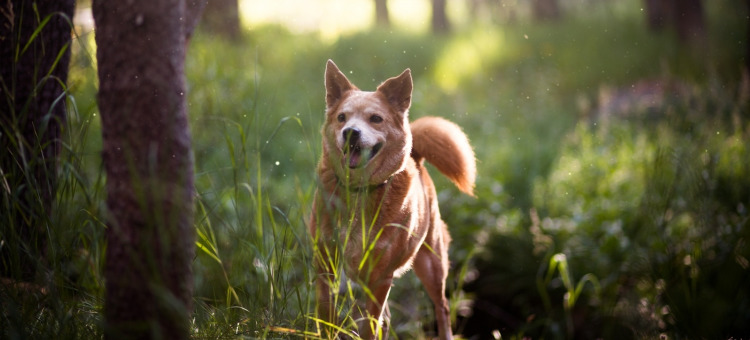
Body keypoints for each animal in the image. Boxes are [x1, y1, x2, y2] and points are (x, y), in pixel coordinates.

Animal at [310, 60, 476, 340]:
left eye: (376, 118)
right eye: (342, 117)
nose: (350, 132)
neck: (359, 191)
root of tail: (416, 156)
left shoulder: (380, 276)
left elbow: (369, 326)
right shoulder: (326, 264)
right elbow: (327, 318)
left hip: (431, 264)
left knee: (441, 308)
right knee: (386, 319)